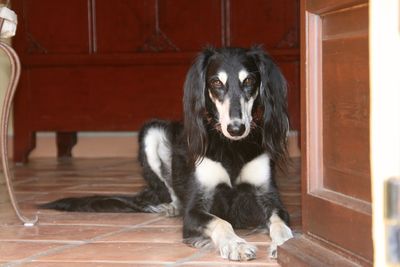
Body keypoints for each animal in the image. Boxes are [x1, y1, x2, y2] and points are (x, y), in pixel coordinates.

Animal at [42, 46, 294, 262]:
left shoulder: (269, 197)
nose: (236, 128)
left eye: (249, 81)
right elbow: (221, 222)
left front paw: (284, 245)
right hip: (151, 131)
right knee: (166, 189)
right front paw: (236, 244)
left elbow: (281, 224)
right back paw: (170, 206)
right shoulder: (195, 209)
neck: (231, 145)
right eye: (216, 82)